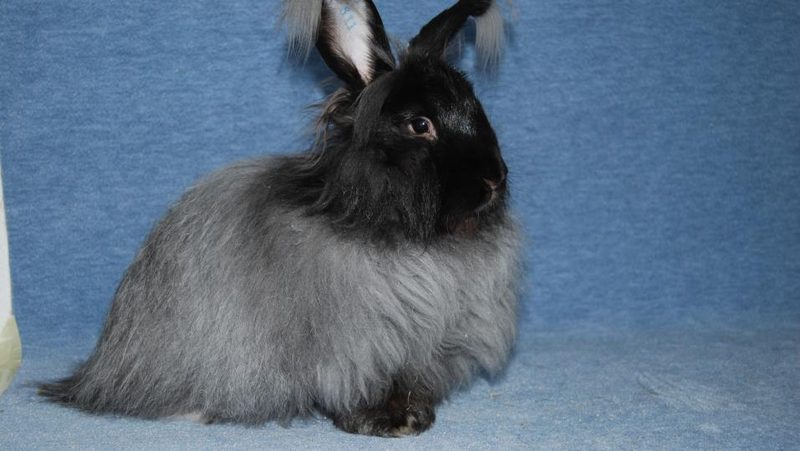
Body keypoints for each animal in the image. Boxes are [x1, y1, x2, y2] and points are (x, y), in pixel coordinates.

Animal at [39, 0, 522, 437]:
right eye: (420, 125)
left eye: (477, 108)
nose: (494, 178)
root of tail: (96, 375)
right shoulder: (354, 348)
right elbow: (357, 388)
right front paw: (383, 423)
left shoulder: (420, 347)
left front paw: (415, 417)